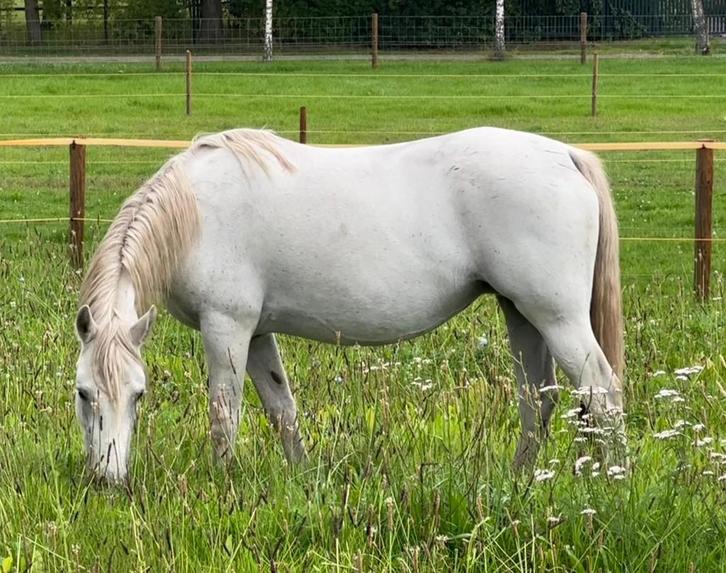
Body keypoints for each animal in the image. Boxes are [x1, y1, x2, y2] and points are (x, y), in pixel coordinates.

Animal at [73, 127, 625, 482]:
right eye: (83, 393)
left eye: (138, 394)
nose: (108, 479)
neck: (197, 211)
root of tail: (565, 155)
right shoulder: (256, 333)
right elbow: (282, 408)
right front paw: (301, 479)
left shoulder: (226, 327)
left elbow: (223, 413)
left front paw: (222, 485)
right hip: (522, 314)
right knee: (539, 400)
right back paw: (519, 482)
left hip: (557, 318)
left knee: (602, 393)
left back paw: (612, 482)